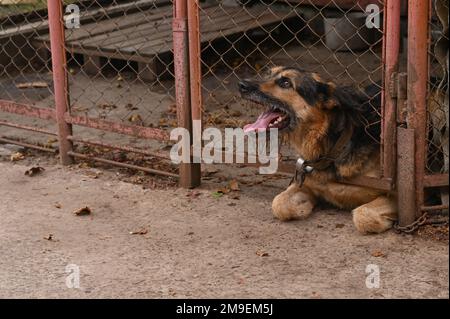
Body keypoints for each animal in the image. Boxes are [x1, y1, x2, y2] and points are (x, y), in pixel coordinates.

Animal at [239, 65, 398, 235]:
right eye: (268, 74)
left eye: (286, 83)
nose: (241, 85)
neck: (334, 145)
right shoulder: (304, 182)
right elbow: (279, 204)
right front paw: (303, 208)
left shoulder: (396, 195)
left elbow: (364, 214)